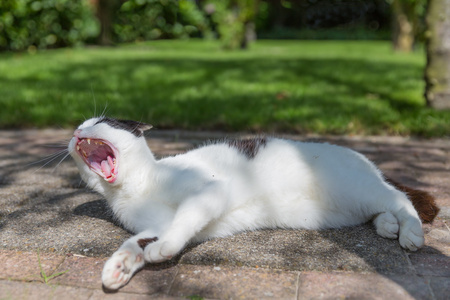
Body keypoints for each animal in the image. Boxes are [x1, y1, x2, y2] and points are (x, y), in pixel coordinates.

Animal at [68, 117, 438, 290]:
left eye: (98, 123)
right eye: (78, 128)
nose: (74, 132)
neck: (136, 185)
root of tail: (365, 160)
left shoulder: (209, 192)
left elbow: (180, 224)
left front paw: (162, 251)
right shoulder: (153, 225)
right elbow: (135, 241)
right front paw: (120, 266)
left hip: (357, 188)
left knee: (399, 196)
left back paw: (410, 233)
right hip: (347, 206)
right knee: (382, 207)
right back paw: (388, 225)